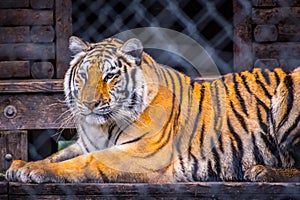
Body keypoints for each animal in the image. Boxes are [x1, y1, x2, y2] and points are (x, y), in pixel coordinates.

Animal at [5, 35, 300, 183]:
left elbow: (84, 162)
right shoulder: (85, 144)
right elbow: (59, 156)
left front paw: (34, 172)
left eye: (110, 76)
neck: (102, 126)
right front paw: (21, 166)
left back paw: (261, 172)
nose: (89, 104)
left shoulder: (143, 153)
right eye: (84, 75)